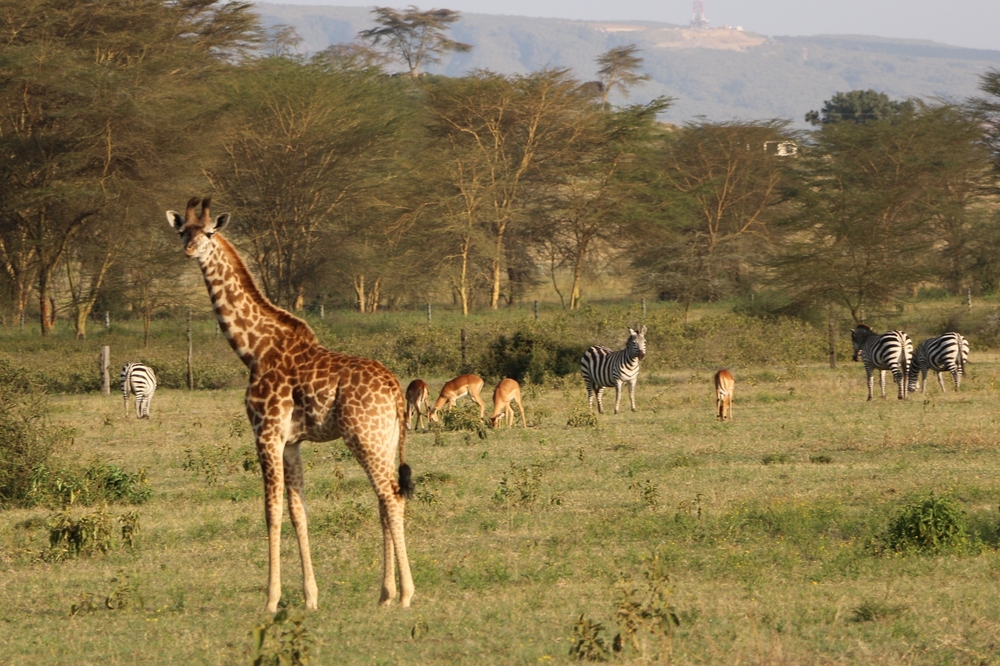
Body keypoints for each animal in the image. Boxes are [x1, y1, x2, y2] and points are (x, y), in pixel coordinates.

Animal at [168, 195, 414, 608]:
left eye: (210, 232)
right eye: (183, 230)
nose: (189, 250)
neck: (254, 350)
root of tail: (396, 389)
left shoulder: (265, 433)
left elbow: (272, 511)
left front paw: (271, 600)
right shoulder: (291, 443)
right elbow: (299, 512)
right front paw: (311, 597)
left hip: (363, 436)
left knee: (391, 497)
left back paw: (406, 594)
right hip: (385, 438)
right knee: (385, 500)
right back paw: (385, 594)